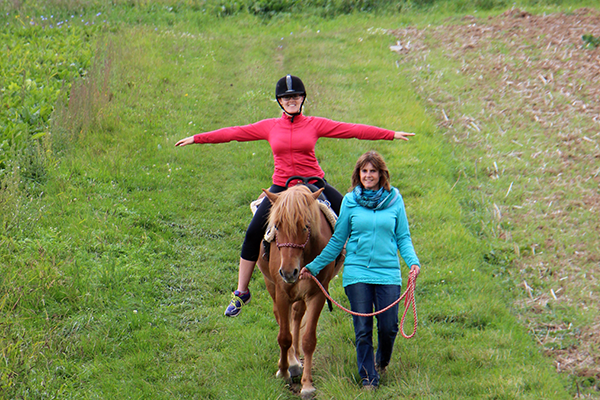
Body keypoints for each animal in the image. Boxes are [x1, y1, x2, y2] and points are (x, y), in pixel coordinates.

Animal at [256, 186, 342, 398]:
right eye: (277, 227)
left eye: (305, 227)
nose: (288, 272)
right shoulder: (282, 292)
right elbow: (284, 337)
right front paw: (284, 372)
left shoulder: (317, 293)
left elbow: (308, 339)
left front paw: (307, 385)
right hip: (271, 285)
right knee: (281, 317)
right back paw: (291, 363)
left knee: (296, 315)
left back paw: (295, 360)